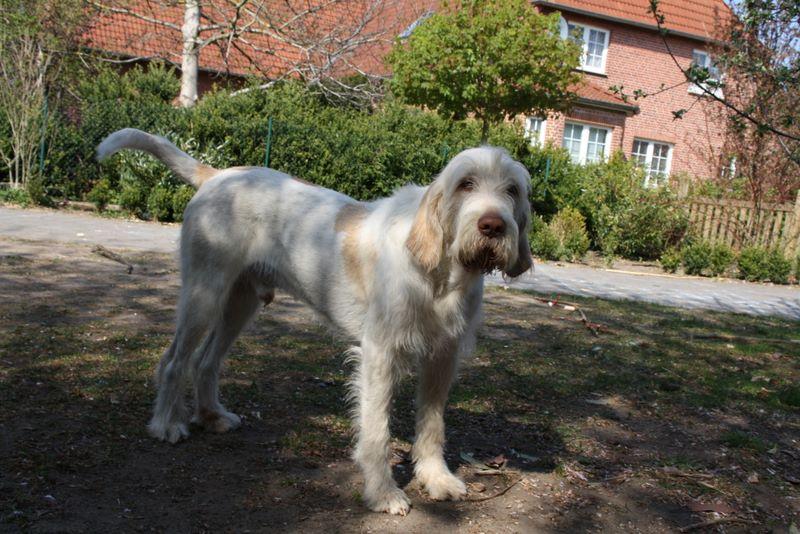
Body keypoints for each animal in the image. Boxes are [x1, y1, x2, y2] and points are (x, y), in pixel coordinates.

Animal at [96, 128, 533, 515]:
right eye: (466, 184)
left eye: (512, 190)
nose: (493, 225)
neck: (441, 275)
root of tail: (218, 174)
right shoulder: (380, 355)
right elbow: (376, 430)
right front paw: (382, 493)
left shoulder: (443, 356)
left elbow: (432, 426)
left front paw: (436, 478)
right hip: (204, 296)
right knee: (174, 360)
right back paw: (166, 425)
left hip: (240, 303)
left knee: (205, 361)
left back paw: (210, 416)